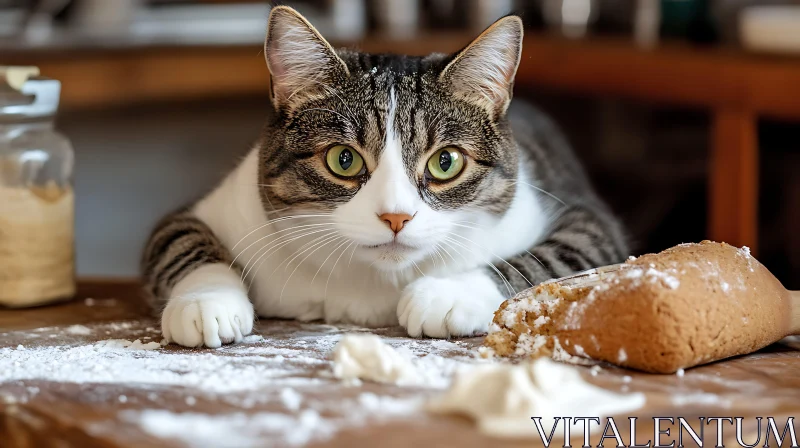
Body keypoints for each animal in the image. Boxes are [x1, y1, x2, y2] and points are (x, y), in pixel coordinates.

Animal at [144, 6, 632, 350]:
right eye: (343, 160)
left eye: (445, 162)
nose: (396, 217)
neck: (370, 282)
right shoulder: (216, 209)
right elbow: (180, 241)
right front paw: (206, 301)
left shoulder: (587, 221)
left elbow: (545, 260)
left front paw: (449, 293)